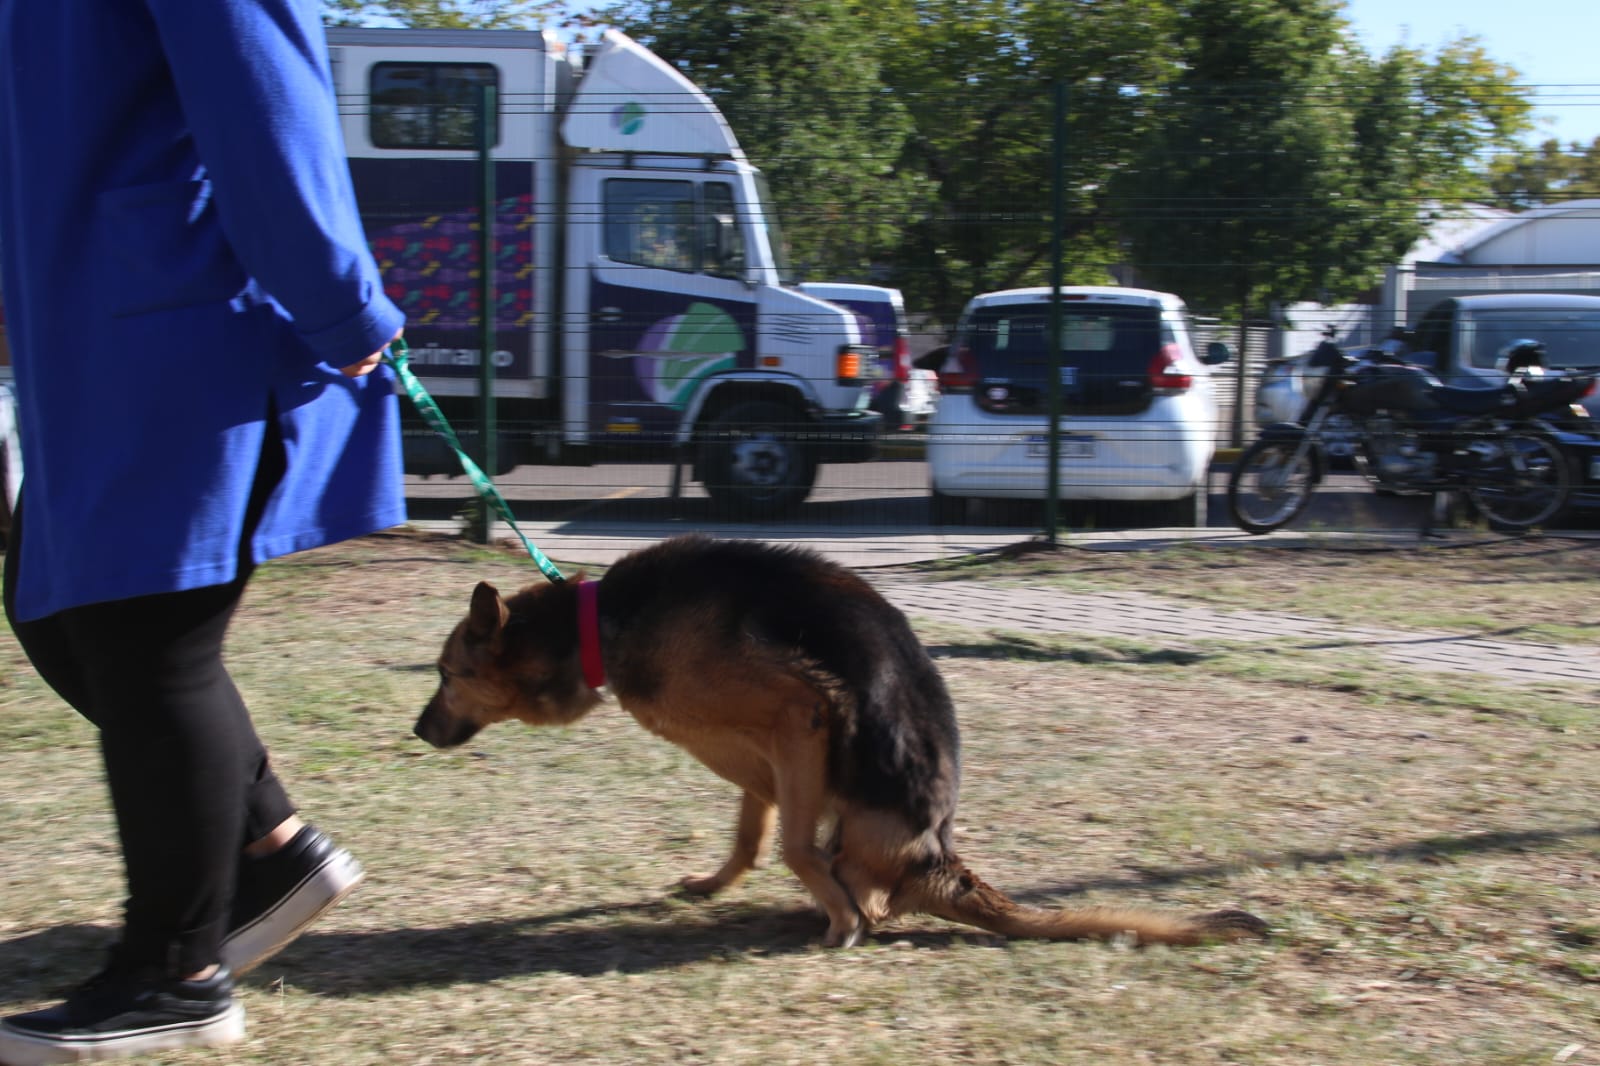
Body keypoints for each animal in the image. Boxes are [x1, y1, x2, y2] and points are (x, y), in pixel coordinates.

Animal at [419, 531, 1267, 947]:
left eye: (445, 673)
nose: (416, 729)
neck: (596, 626)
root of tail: (938, 860)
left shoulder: (802, 715)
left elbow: (794, 848)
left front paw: (838, 920)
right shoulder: (767, 754)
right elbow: (752, 833)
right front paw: (716, 881)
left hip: (857, 805)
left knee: (869, 892)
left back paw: (845, 909)